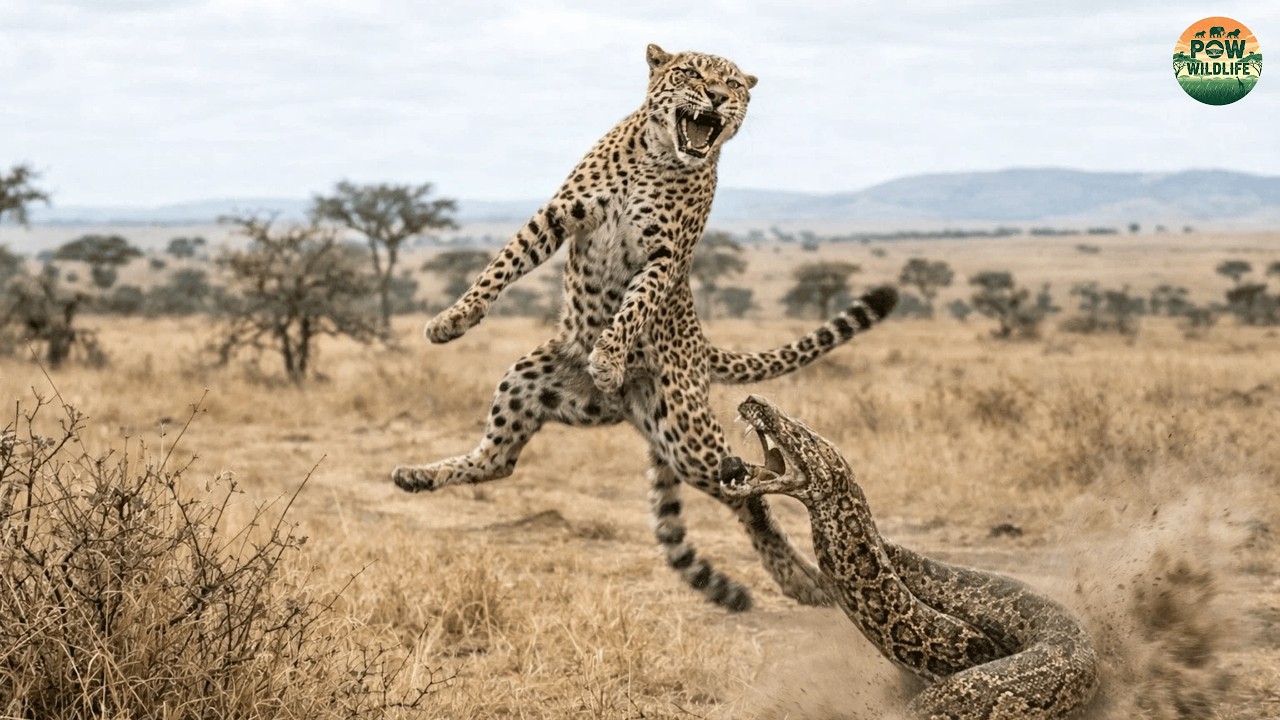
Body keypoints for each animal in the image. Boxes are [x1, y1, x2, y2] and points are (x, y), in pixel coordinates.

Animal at [392, 43, 899, 612]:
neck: (660, 156)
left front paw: (608, 357)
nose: (717, 97)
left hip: (687, 435)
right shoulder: (558, 217)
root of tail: (702, 347)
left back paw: (802, 581)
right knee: (499, 461)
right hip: (528, 381)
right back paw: (416, 475)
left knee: (749, 492)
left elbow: (634, 307)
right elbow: (501, 265)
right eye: (692, 73)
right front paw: (452, 319)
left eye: (734, 85)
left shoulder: (663, 258)